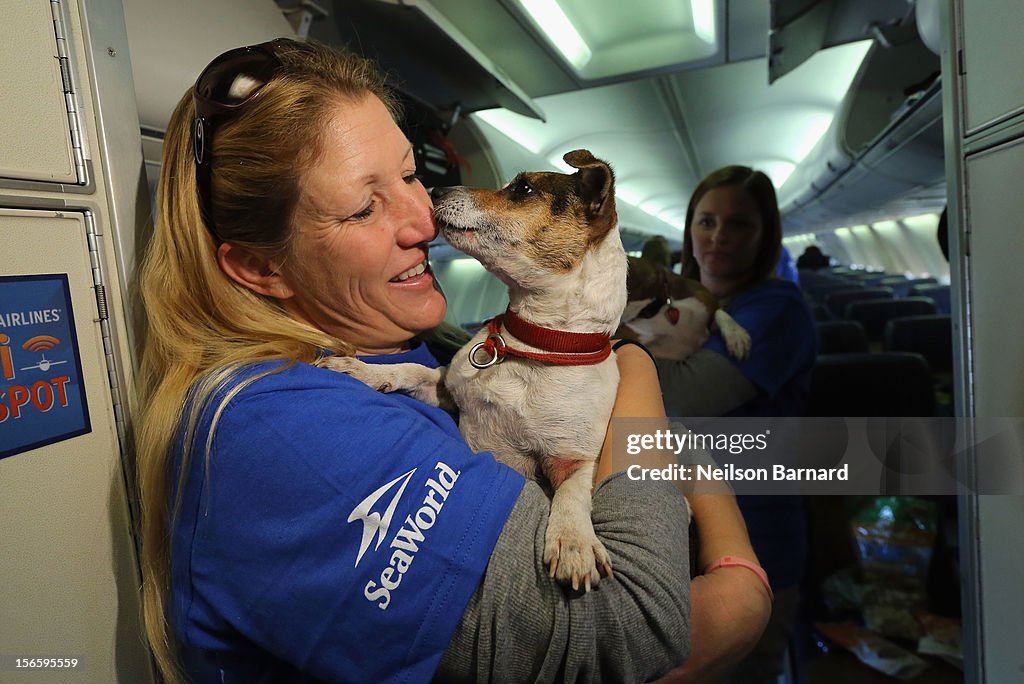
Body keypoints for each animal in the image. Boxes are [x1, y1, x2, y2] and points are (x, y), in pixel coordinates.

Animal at [323, 152, 622, 589]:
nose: (436, 189)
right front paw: (366, 371)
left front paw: (573, 541)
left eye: (523, 188)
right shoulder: (447, 390)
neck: (527, 346)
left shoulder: (574, 458)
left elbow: (573, 493)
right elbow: (412, 370)